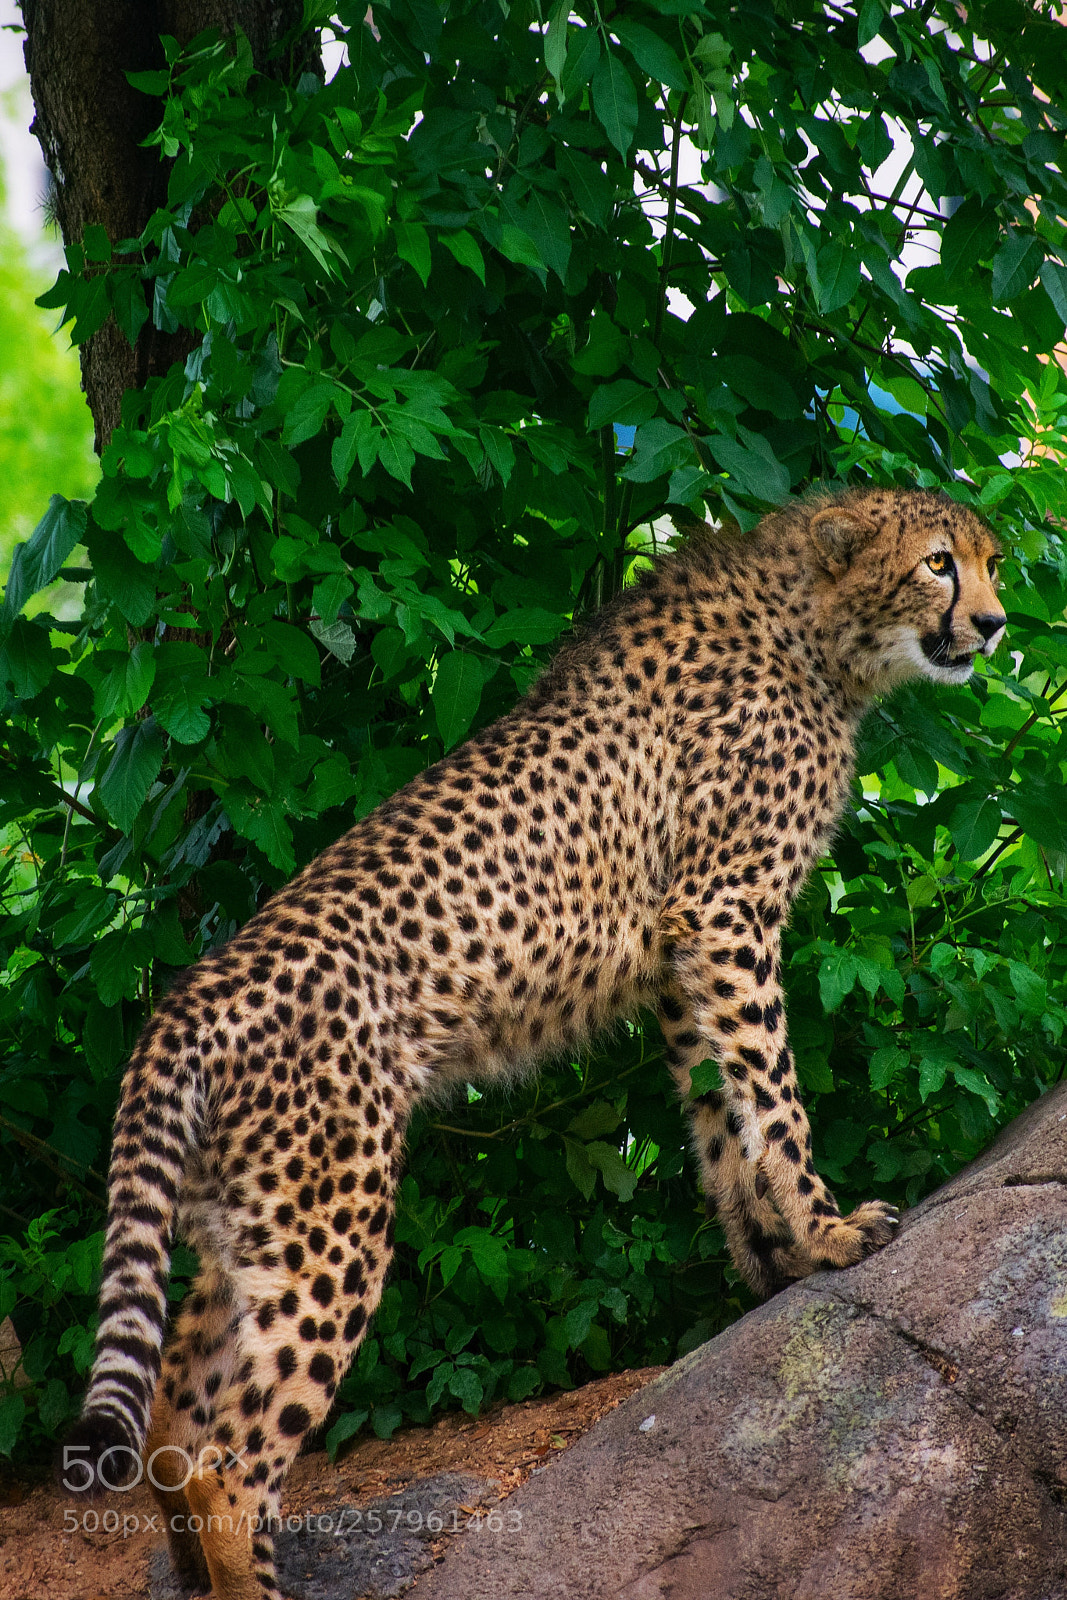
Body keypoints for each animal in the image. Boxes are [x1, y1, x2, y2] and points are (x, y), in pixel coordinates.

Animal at [61, 486, 1005, 1600]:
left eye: (991, 562)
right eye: (938, 563)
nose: (995, 624)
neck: (815, 629)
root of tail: (183, 998)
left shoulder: (679, 952)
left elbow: (716, 1113)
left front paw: (767, 1263)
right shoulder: (722, 912)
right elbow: (771, 1097)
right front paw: (825, 1234)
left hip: (245, 1220)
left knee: (172, 1417)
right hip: (330, 1220)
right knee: (231, 1461)